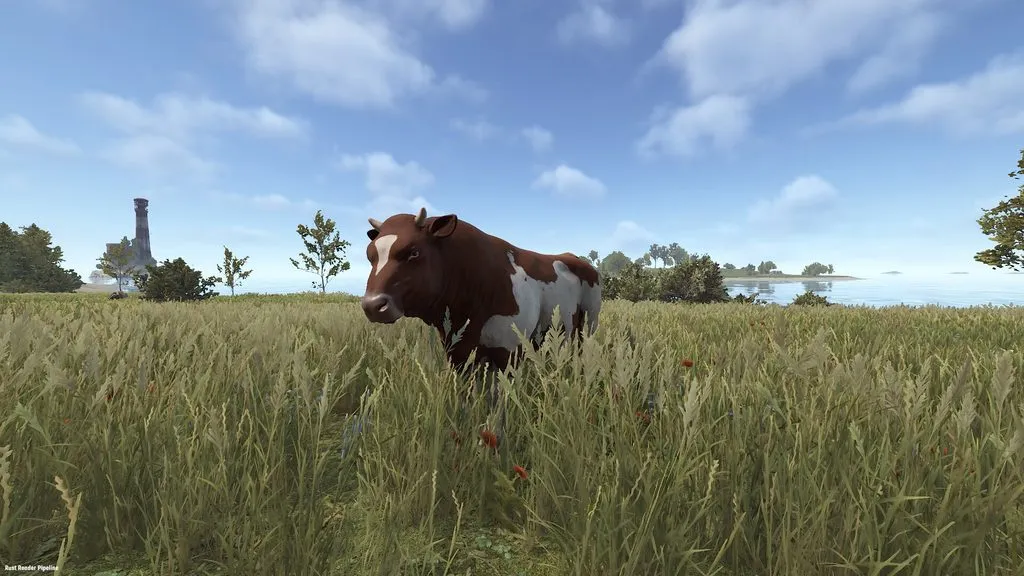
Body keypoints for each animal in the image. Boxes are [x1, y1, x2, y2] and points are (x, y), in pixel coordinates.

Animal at [360, 207, 602, 373]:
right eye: (370, 255)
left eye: (414, 252)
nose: (373, 305)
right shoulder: (458, 353)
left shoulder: (509, 352)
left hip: (590, 321)